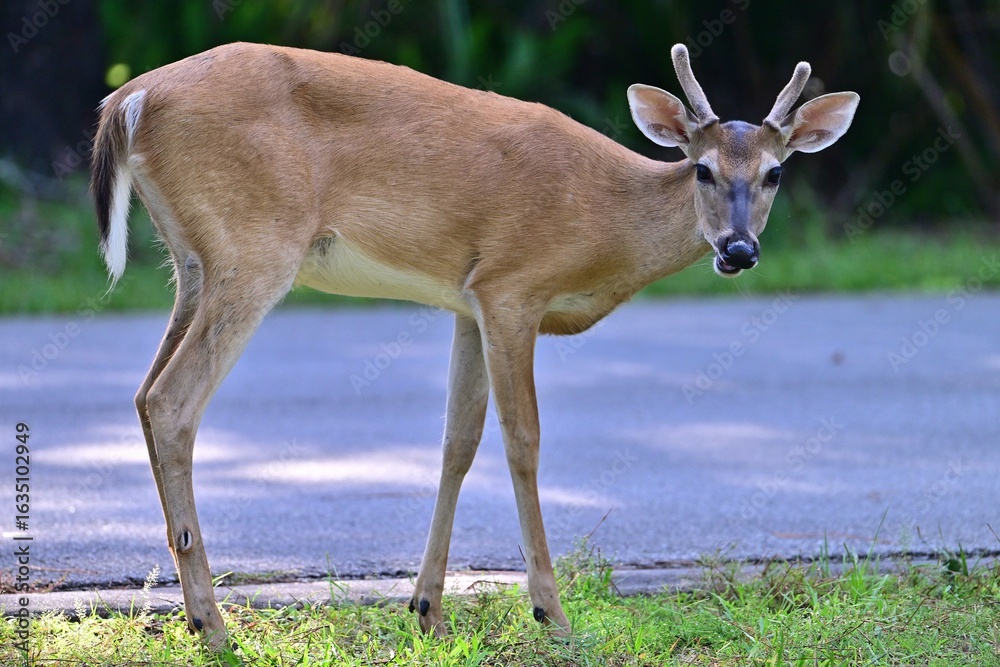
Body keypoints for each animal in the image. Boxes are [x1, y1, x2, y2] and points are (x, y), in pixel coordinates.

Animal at [90, 41, 858, 647]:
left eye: (775, 173)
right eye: (702, 169)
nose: (739, 250)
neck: (605, 222)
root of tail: (128, 98)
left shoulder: (468, 302)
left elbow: (457, 440)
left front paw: (426, 608)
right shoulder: (512, 288)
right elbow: (523, 439)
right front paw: (553, 615)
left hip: (194, 262)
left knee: (142, 393)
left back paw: (196, 608)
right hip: (256, 247)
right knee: (173, 400)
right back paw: (211, 624)